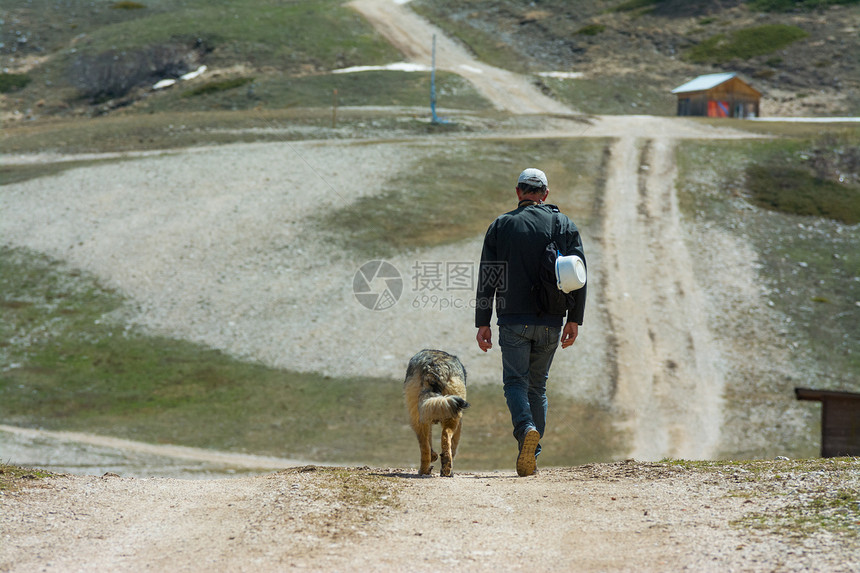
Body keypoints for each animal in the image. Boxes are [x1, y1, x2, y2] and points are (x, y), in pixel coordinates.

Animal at [404, 346, 470, 476]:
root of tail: (432, 368)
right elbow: (454, 445)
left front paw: (433, 456)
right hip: (453, 415)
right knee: (446, 436)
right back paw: (445, 468)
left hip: (419, 414)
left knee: (425, 445)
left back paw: (427, 469)